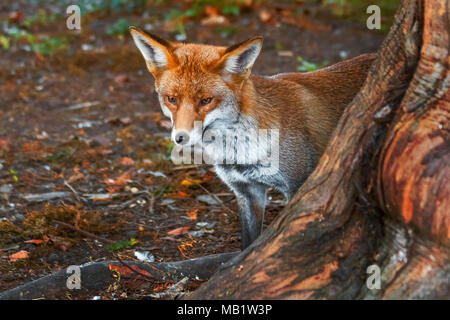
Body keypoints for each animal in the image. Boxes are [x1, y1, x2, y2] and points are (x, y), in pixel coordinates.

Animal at [130, 26, 376, 248]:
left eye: (206, 100)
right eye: (171, 99)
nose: (180, 138)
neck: (239, 150)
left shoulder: (300, 189)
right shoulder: (247, 191)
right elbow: (249, 244)